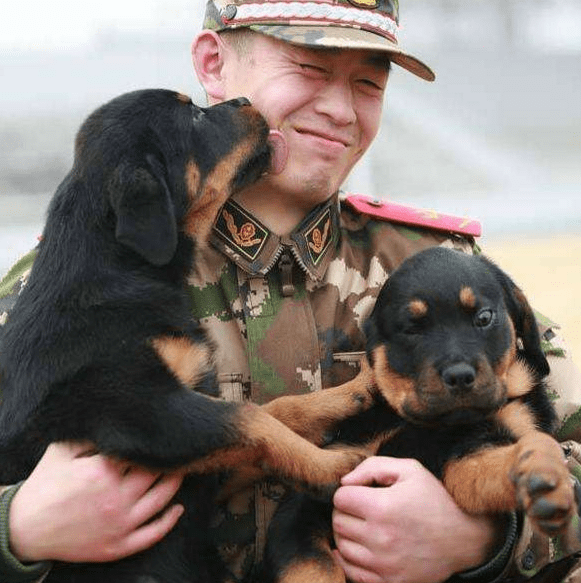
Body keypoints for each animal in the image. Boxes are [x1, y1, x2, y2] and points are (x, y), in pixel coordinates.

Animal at [264, 246, 576, 583]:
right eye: (411, 328)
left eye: (484, 317)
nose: (459, 376)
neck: (422, 422)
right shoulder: (313, 494)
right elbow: (312, 566)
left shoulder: (469, 450)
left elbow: (493, 464)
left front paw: (540, 472)